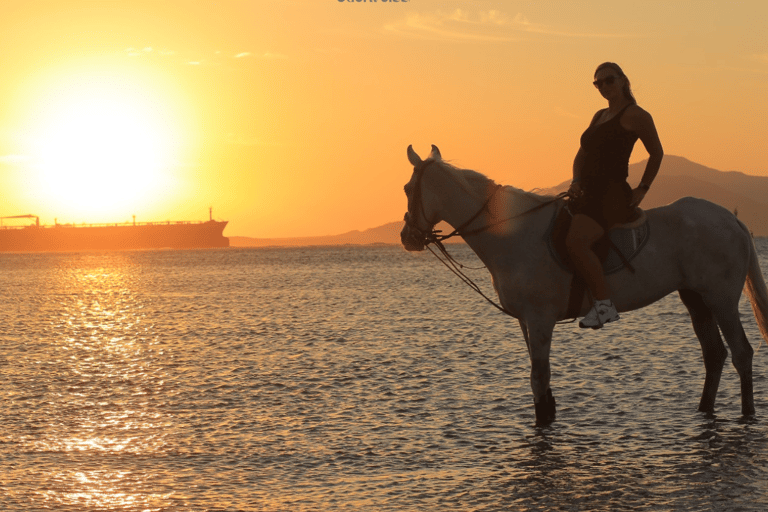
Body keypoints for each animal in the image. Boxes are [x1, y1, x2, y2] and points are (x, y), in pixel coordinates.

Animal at [400, 145, 768, 428]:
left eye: (406, 189)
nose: (407, 238)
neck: (512, 233)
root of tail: (732, 219)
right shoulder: (526, 321)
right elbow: (541, 380)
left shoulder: (540, 318)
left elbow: (539, 377)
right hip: (696, 299)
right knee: (715, 355)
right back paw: (703, 411)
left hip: (721, 299)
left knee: (741, 353)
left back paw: (747, 415)